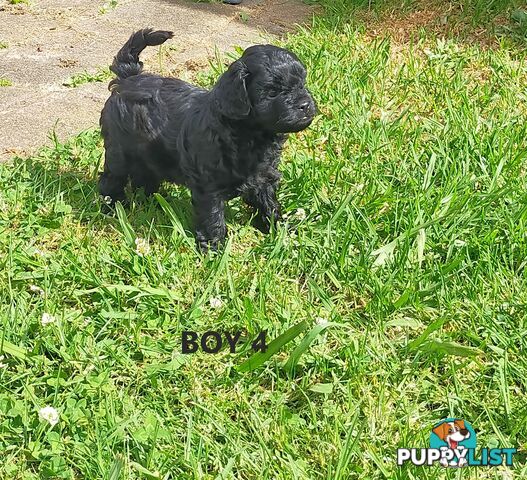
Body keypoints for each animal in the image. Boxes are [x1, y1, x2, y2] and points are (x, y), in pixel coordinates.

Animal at [100, 29, 318, 251]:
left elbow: (269, 203)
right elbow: (212, 216)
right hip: (119, 150)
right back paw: (113, 206)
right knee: (111, 178)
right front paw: (214, 248)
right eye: (273, 92)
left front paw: (281, 229)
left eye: (302, 85)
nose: (305, 104)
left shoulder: (263, 176)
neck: (247, 133)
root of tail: (128, 78)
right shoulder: (208, 186)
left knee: (145, 175)